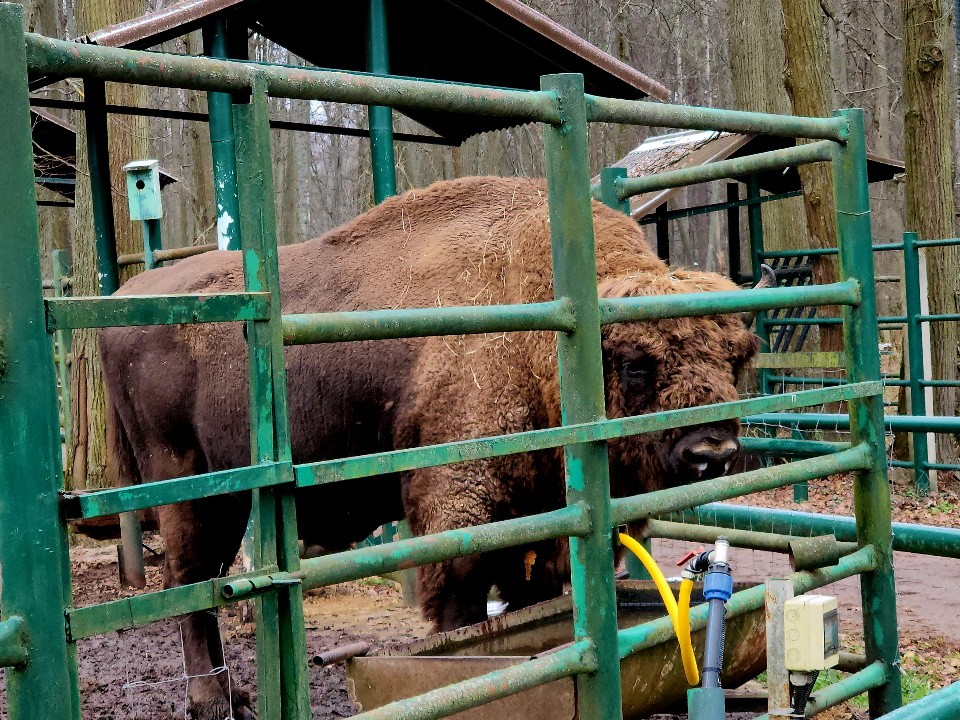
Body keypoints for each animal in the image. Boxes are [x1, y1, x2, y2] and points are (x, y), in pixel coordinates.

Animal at [101, 176, 760, 720]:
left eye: (737, 358)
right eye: (635, 363)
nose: (713, 450)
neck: (548, 335)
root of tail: (125, 299)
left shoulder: (543, 516)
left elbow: (533, 592)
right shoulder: (460, 503)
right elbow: (462, 592)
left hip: (234, 497)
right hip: (189, 489)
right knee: (189, 584)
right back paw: (214, 701)